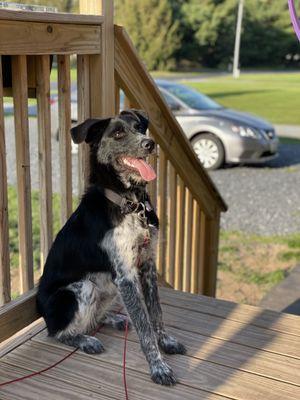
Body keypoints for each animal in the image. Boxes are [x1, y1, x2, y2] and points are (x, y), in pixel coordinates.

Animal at [36, 108, 186, 384]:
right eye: (118, 134)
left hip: (109, 288)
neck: (131, 204)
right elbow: (144, 327)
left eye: (140, 128)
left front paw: (166, 342)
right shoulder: (126, 276)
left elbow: (155, 313)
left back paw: (113, 319)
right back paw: (84, 340)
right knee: (57, 333)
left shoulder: (147, 266)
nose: (149, 144)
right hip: (83, 288)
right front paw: (158, 366)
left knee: (95, 317)